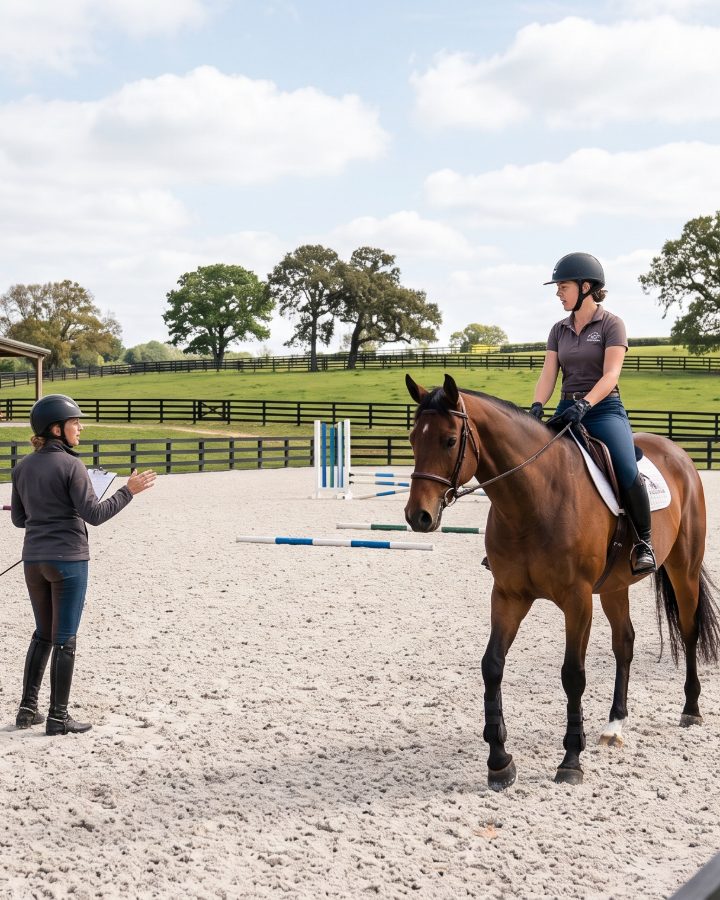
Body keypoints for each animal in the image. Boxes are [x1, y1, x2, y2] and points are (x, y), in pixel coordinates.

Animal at [404, 373, 720, 790]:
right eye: (412, 438)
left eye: (450, 440)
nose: (418, 516)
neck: (533, 497)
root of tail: (679, 453)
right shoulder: (508, 596)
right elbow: (492, 666)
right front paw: (499, 762)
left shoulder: (577, 599)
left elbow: (573, 675)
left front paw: (571, 761)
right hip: (615, 586)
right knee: (625, 643)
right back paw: (614, 725)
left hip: (684, 569)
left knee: (688, 630)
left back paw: (691, 708)